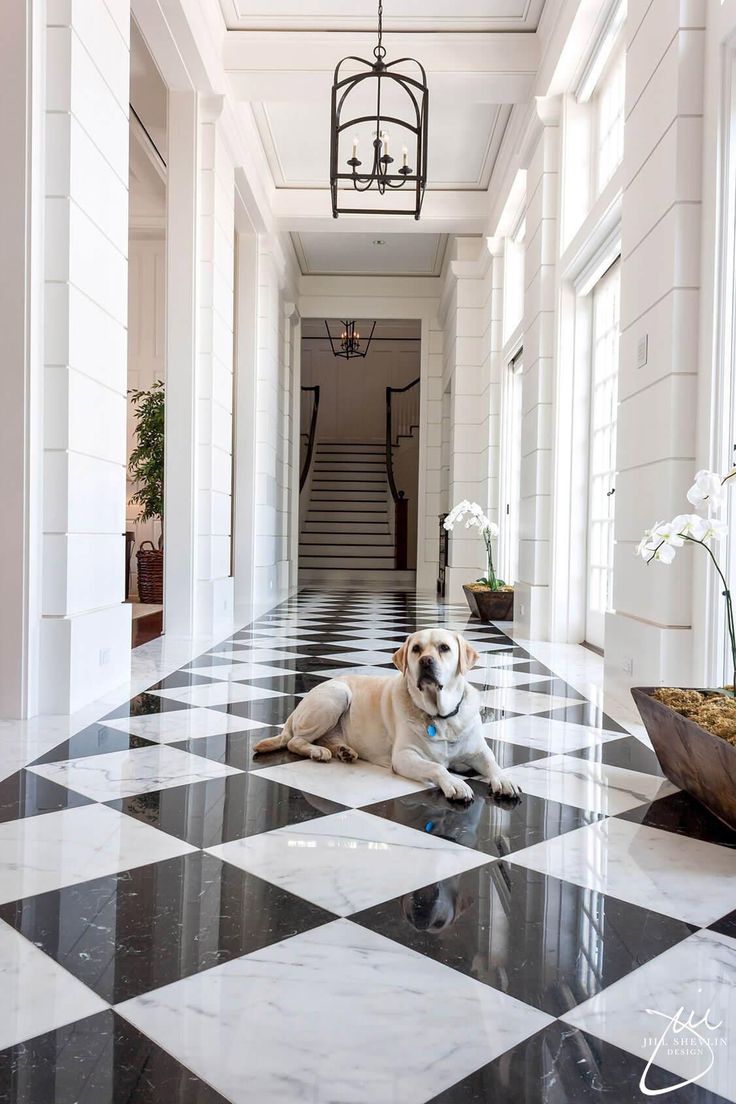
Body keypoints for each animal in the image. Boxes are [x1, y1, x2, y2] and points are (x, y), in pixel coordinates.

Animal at [253, 631, 518, 803]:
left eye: (444, 648)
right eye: (416, 649)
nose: (426, 661)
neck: (440, 716)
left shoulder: (477, 750)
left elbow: (492, 761)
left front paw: (504, 780)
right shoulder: (404, 756)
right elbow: (436, 767)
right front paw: (455, 783)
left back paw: (344, 751)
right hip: (337, 696)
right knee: (294, 741)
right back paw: (318, 752)